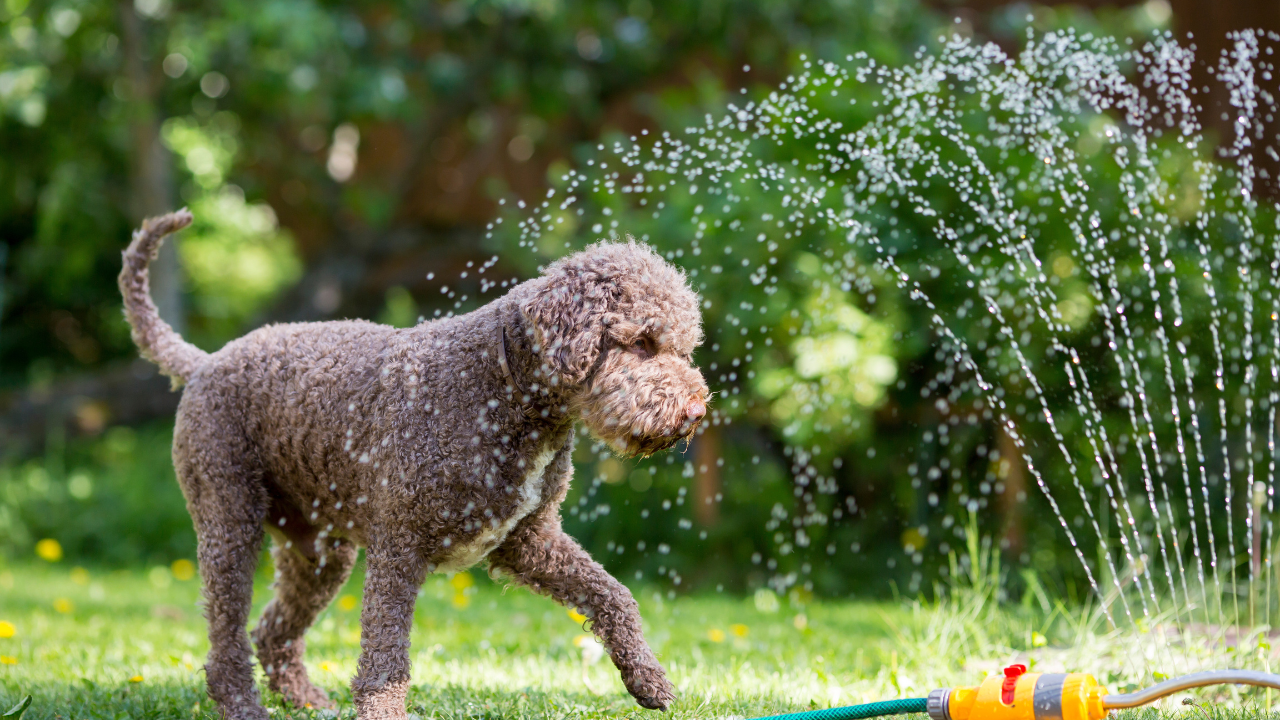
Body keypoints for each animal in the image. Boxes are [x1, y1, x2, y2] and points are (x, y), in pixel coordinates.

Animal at [119, 208, 711, 717]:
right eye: (642, 342)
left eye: (684, 347)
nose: (696, 411)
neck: (497, 389)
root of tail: (205, 362)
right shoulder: (398, 549)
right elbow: (386, 660)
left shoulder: (528, 541)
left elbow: (614, 596)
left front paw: (648, 679)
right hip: (230, 524)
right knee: (226, 641)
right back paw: (243, 706)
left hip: (320, 553)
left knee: (272, 632)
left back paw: (306, 700)